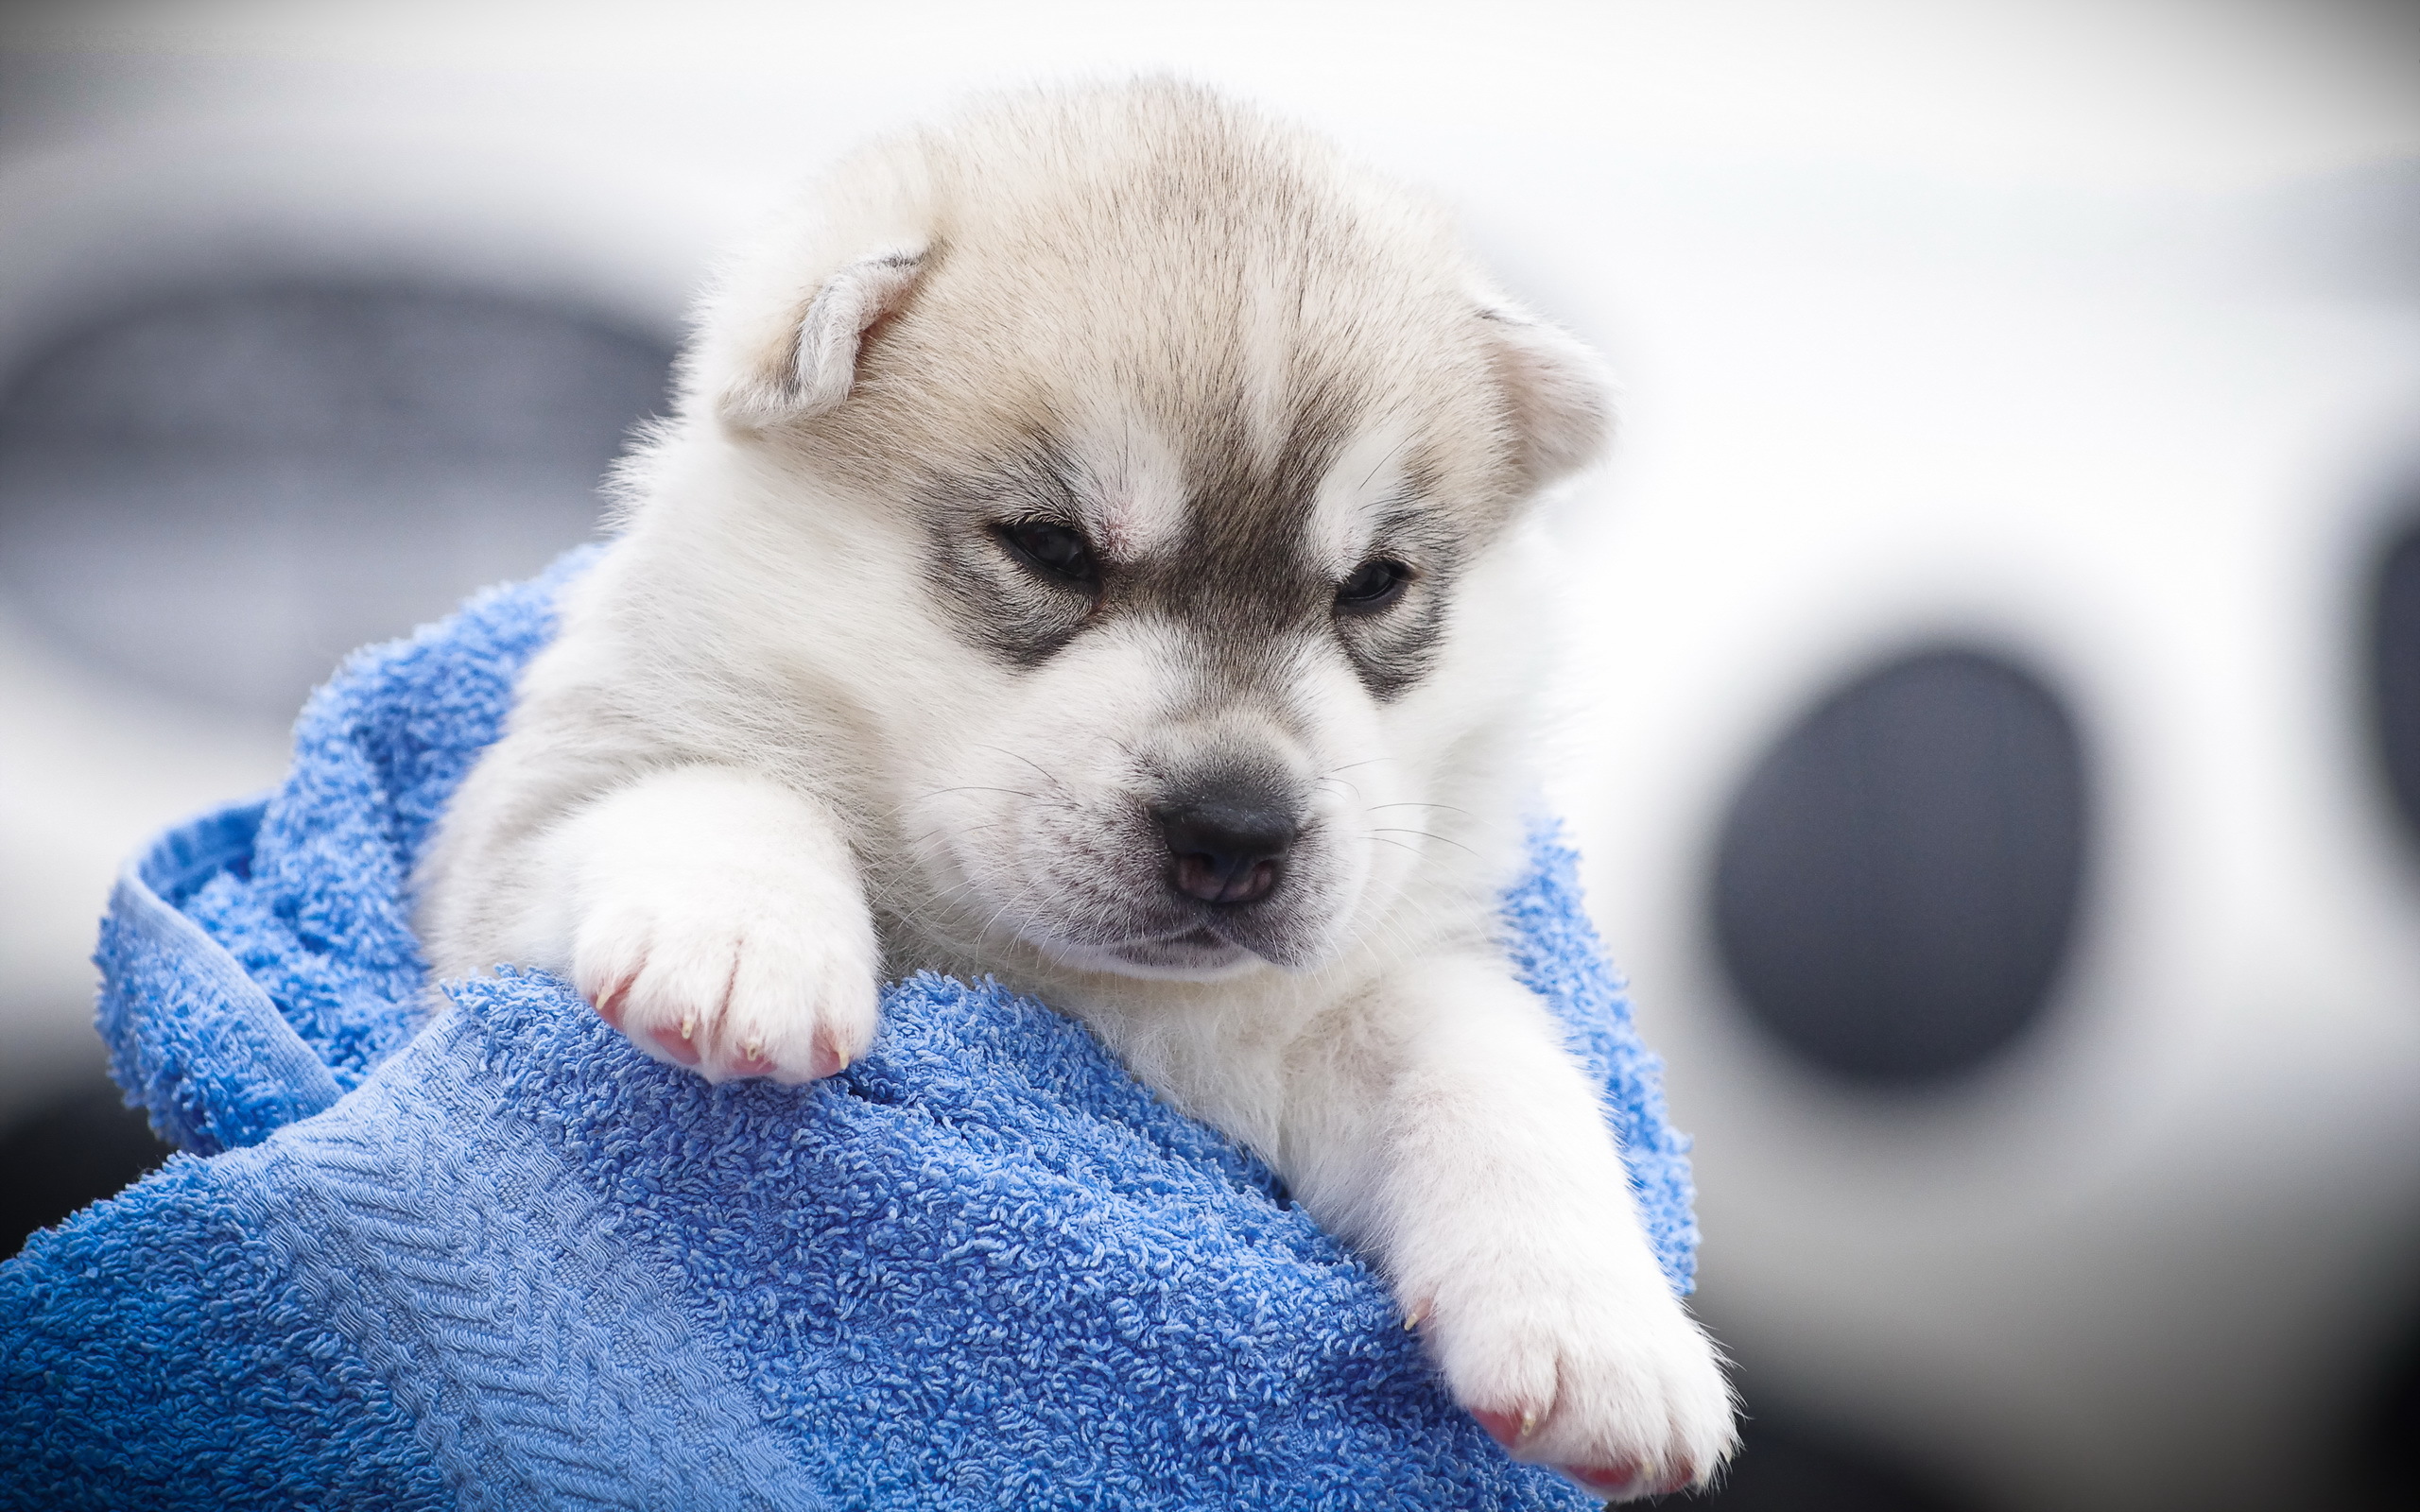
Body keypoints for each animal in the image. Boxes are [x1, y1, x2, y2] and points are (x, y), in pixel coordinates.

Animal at [421, 79, 1742, 1489]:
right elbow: (711, 793)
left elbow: (1490, 1063)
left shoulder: (1341, 1002)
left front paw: (1597, 1324)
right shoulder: (511, 854)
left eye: (1374, 586)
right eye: (1050, 549)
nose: (1239, 829)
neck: (1073, 986)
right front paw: (737, 941)